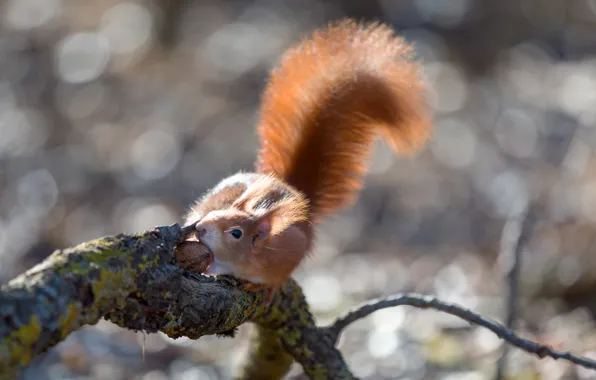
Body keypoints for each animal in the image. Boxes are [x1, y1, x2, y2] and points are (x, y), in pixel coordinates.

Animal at [184, 19, 430, 304]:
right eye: (216, 212)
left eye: (236, 233)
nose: (200, 228)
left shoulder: (287, 254)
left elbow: (274, 279)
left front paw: (265, 288)